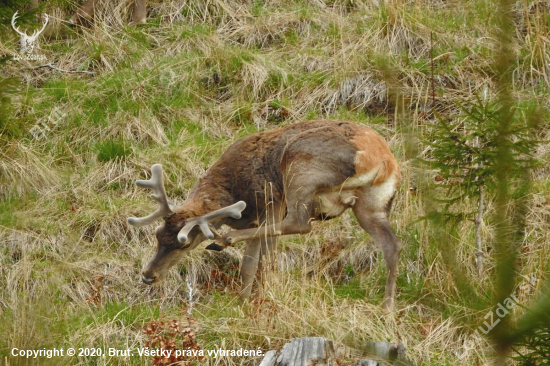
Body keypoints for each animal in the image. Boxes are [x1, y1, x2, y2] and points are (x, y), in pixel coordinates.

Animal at [129, 119, 406, 308]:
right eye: (157, 235)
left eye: (184, 243)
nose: (148, 276)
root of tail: (381, 160)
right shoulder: (259, 217)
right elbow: (248, 265)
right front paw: (242, 302)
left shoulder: (271, 203)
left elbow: (263, 257)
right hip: (373, 203)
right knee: (392, 244)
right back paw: (388, 307)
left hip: (299, 172)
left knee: (300, 223)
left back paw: (224, 239)